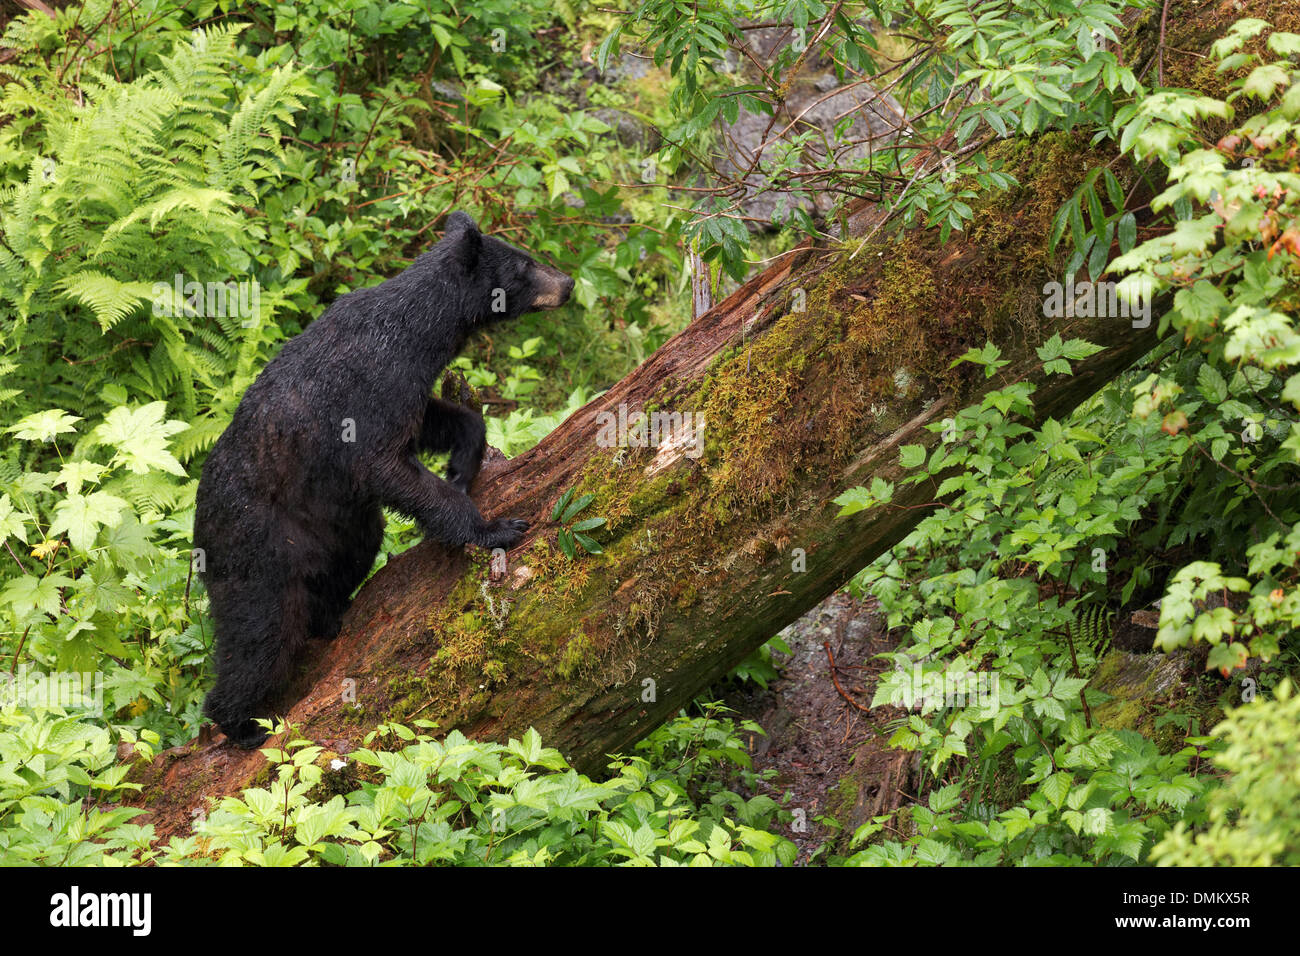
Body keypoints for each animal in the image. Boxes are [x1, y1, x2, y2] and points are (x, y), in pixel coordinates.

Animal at [193, 210, 574, 749]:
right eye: (524, 265)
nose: (567, 284)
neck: (421, 333)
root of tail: (199, 526)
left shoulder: (407, 386)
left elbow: (438, 421)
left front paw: (463, 465)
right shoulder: (371, 390)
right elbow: (386, 463)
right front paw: (494, 527)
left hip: (331, 529)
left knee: (351, 557)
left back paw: (331, 617)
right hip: (257, 547)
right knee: (261, 634)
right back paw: (240, 723)